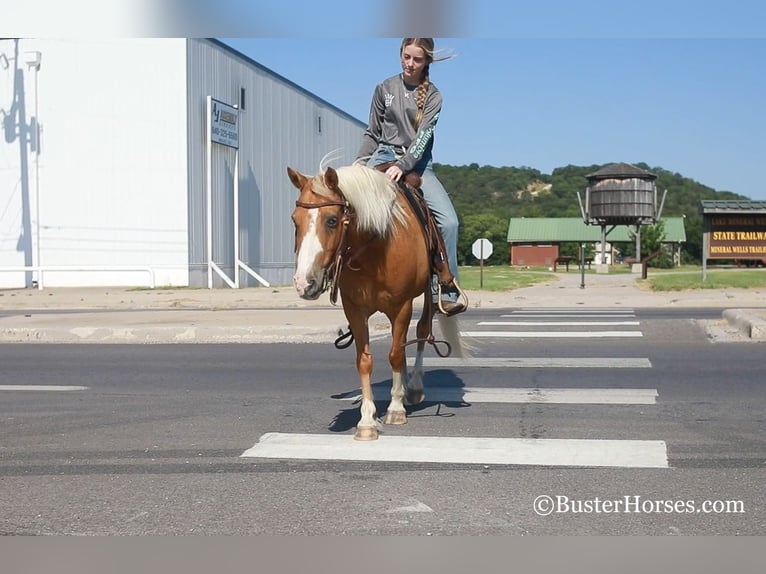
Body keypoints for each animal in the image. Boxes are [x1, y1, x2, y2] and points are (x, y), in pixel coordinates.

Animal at [286, 164, 468, 444]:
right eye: (295, 220)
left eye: (332, 220)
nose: (303, 283)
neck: (376, 249)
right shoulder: (355, 310)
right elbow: (365, 360)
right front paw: (367, 421)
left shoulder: (402, 306)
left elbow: (395, 354)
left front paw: (395, 409)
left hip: (428, 291)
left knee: (422, 332)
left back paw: (414, 387)